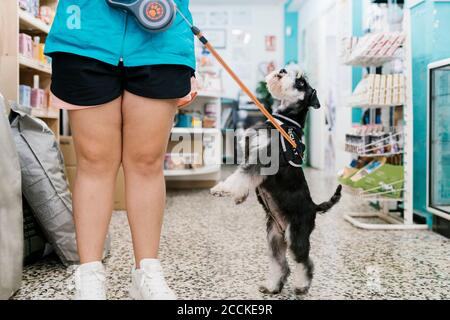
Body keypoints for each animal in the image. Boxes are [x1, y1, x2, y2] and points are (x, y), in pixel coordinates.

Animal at [211, 65, 342, 296]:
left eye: (301, 82)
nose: (281, 70)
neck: (282, 121)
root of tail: (314, 207)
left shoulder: (262, 159)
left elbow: (241, 175)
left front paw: (223, 189)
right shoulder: (250, 151)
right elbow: (242, 174)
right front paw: (239, 196)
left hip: (296, 236)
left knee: (305, 262)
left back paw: (301, 286)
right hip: (274, 237)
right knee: (281, 264)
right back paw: (272, 286)